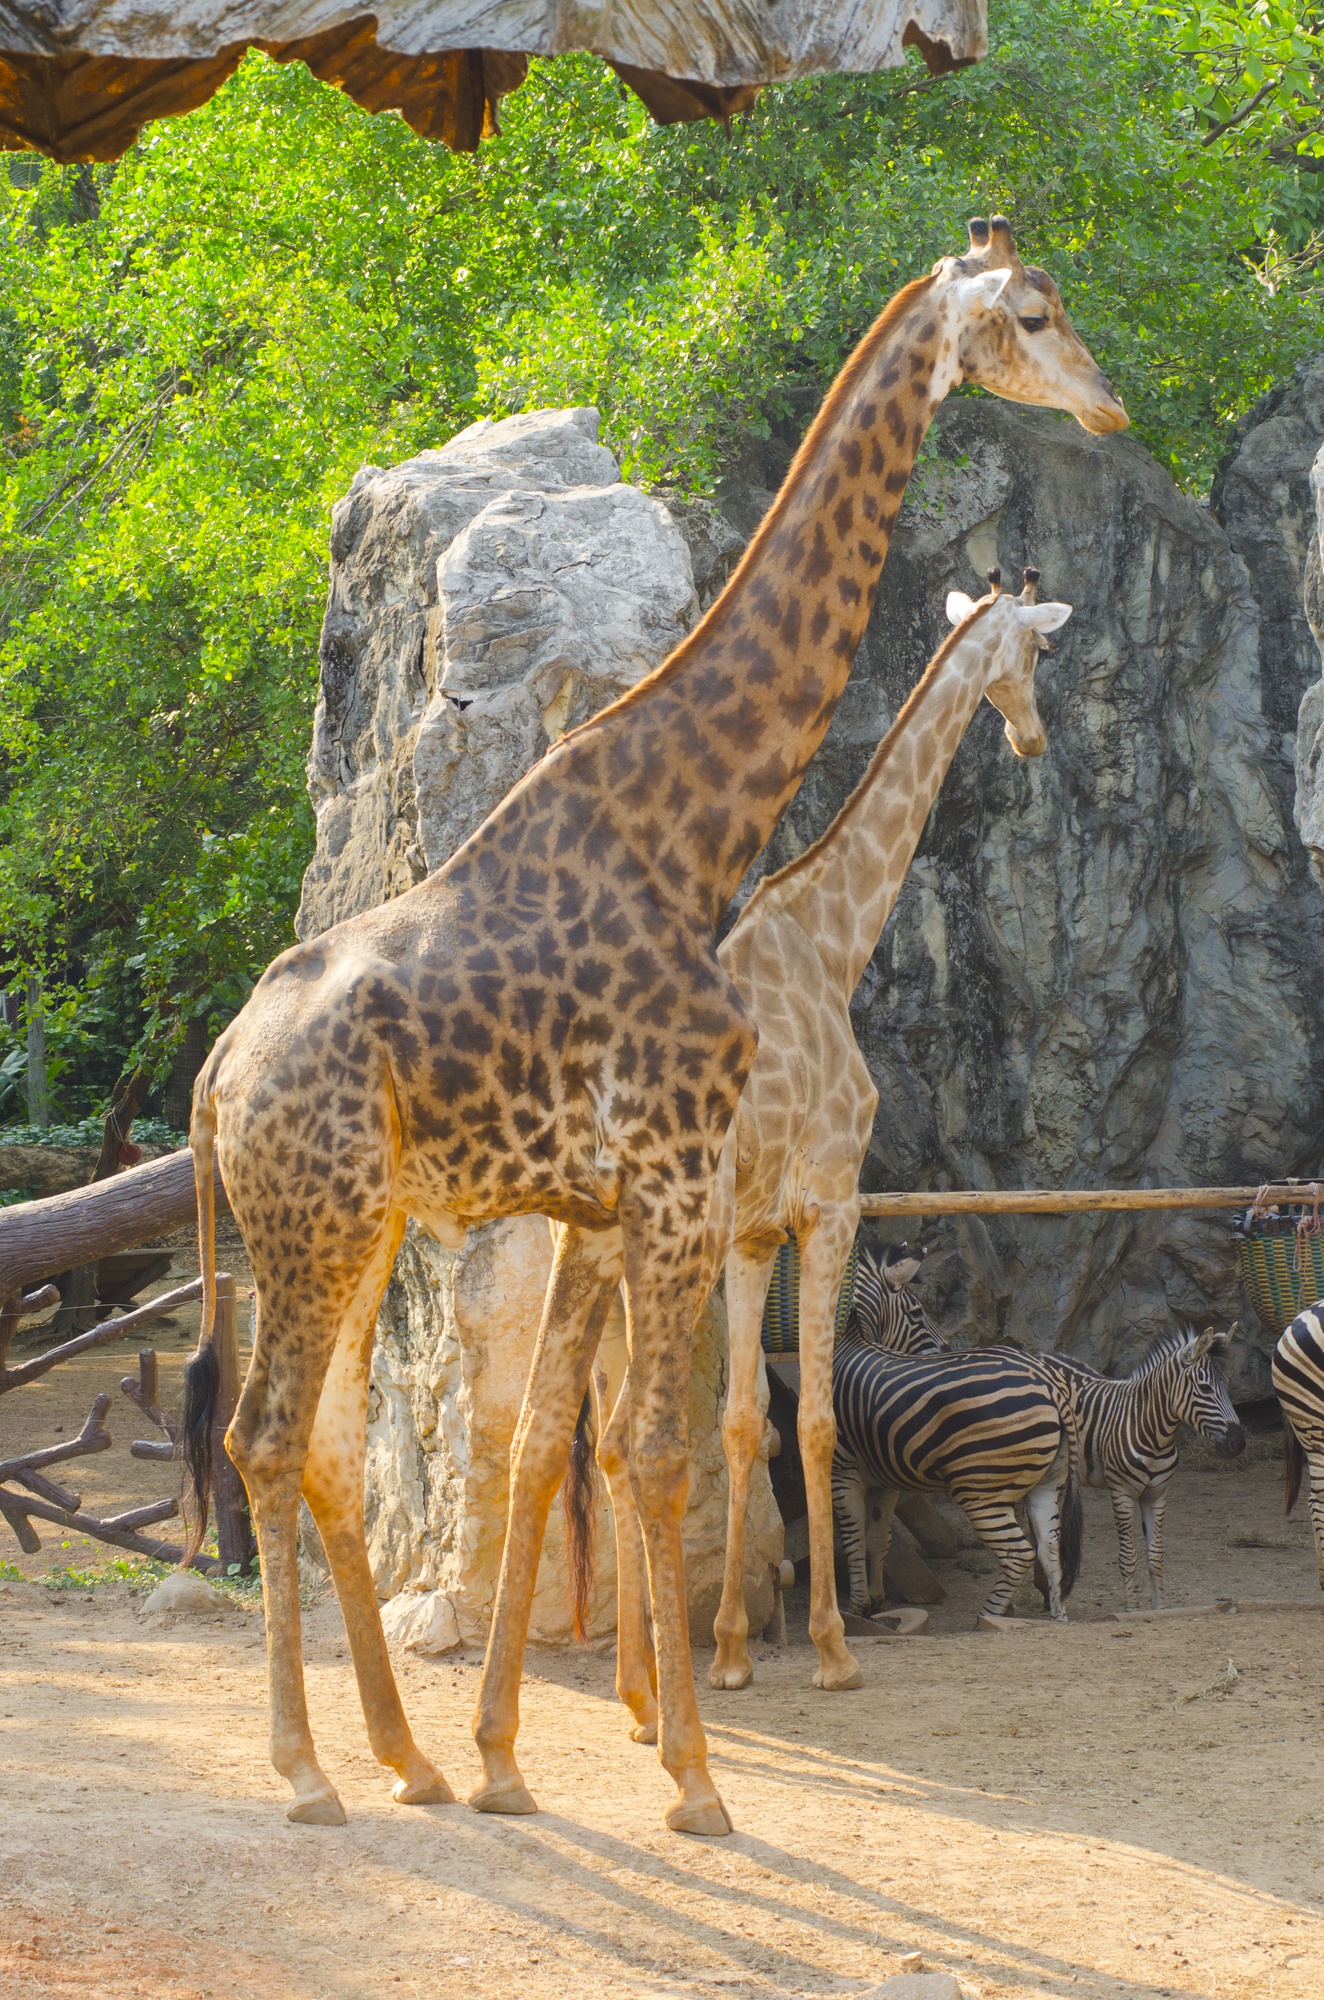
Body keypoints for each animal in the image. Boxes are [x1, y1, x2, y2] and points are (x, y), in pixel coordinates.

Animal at [590, 567, 1074, 1727]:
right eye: (1039, 654)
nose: (1033, 737)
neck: (830, 936)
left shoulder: (754, 1230)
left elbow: (741, 1424)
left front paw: (730, 1650)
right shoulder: (832, 1202)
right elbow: (808, 1420)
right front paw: (830, 1647)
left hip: (612, 1261)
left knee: (600, 1439)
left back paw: (638, 1682)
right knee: (629, 1435)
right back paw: (651, 1688)